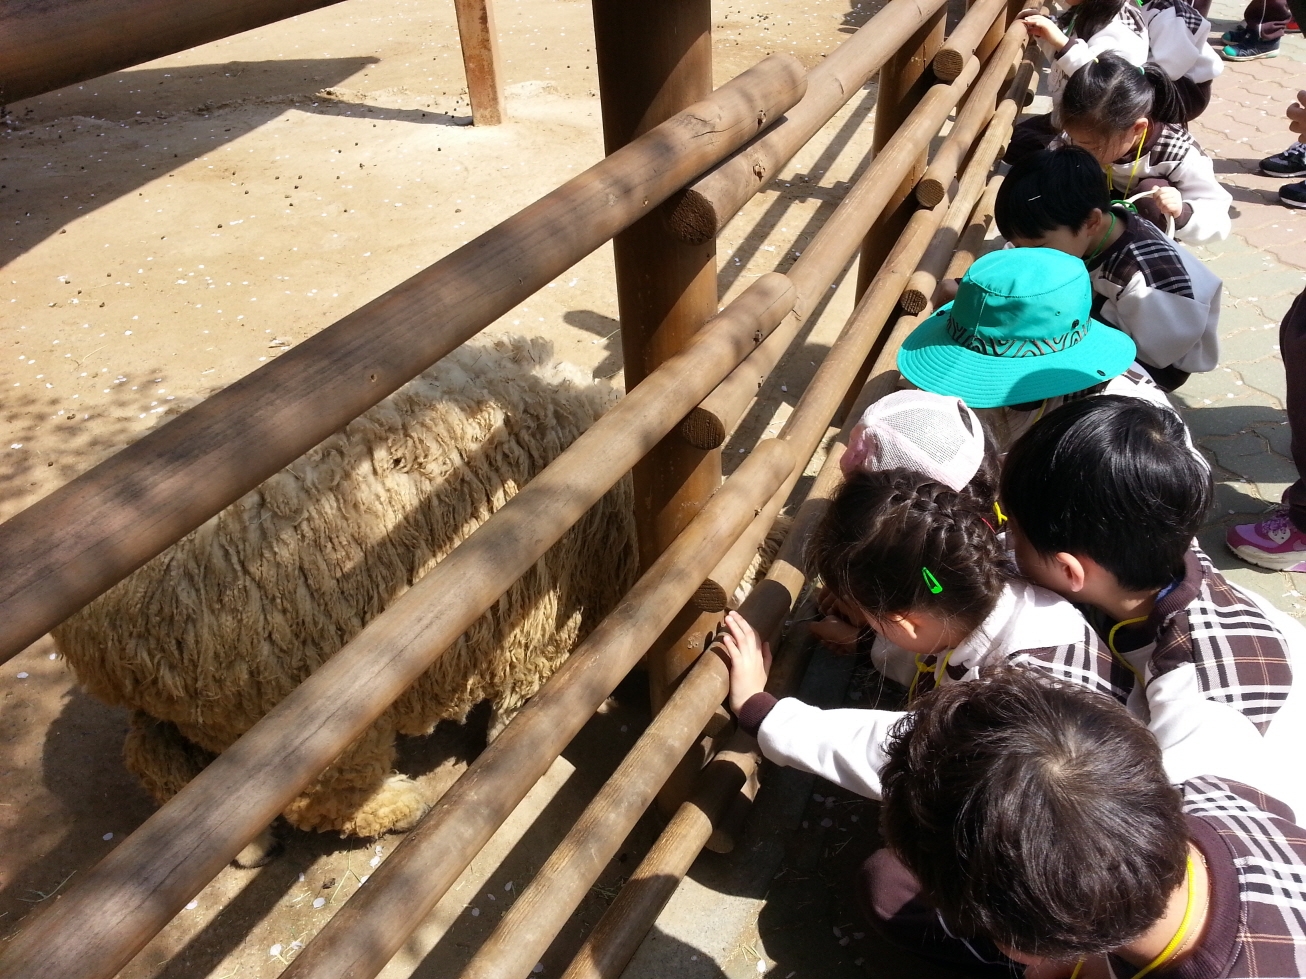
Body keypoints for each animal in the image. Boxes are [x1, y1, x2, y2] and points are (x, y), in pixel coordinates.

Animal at [53, 336, 639, 861]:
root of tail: (89, 630)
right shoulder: (536, 626)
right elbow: (524, 702)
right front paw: (513, 732)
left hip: (201, 704)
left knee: (153, 758)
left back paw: (246, 848)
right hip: (316, 720)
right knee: (319, 800)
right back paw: (399, 807)